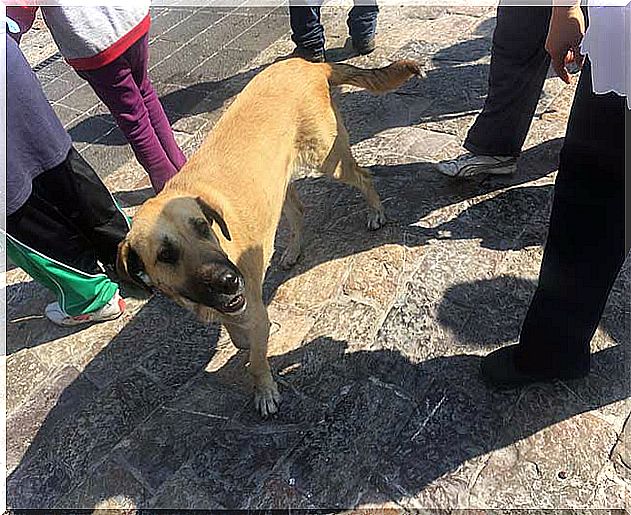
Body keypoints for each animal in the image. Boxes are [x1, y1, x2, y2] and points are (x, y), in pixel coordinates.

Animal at [118, 57, 424, 420]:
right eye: (166, 254)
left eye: (202, 227)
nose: (229, 280)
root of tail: (309, 64)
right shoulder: (235, 309)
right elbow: (241, 338)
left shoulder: (250, 309)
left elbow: (254, 357)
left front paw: (264, 390)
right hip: (278, 185)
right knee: (299, 211)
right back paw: (292, 250)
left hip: (328, 159)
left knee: (364, 177)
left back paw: (375, 212)